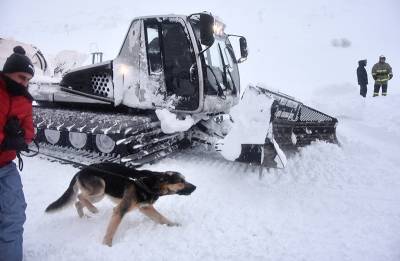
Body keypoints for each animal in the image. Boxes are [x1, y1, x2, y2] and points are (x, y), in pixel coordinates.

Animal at [45, 162, 195, 246]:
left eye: (184, 180)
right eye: (181, 181)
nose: (195, 187)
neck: (151, 183)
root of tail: (81, 170)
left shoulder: (146, 208)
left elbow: (161, 218)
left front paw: (173, 225)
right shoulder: (120, 210)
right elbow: (111, 230)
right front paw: (106, 246)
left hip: (100, 195)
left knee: (78, 202)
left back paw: (84, 217)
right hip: (100, 187)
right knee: (80, 196)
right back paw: (93, 210)